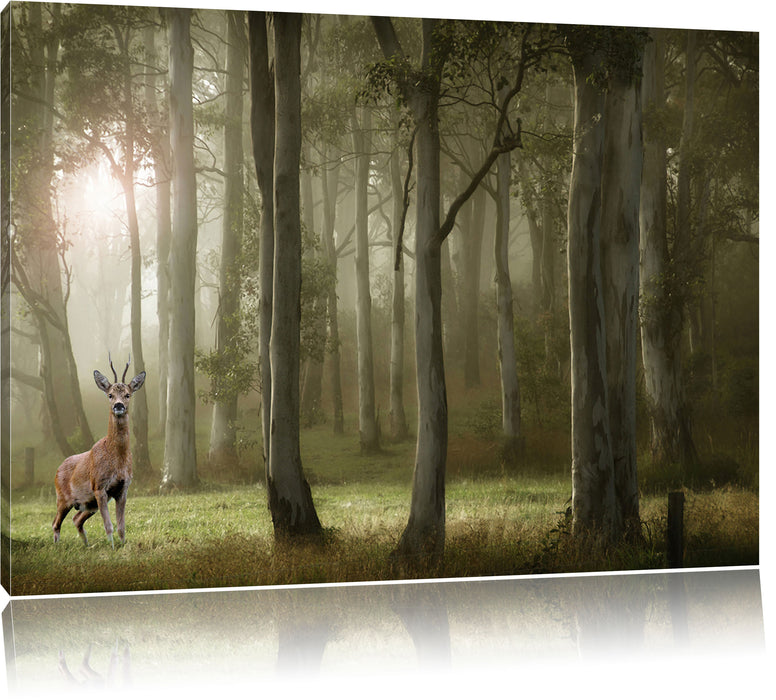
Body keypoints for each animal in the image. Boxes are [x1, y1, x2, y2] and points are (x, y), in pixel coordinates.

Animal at [52, 355, 146, 549]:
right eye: (110, 395)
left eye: (128, 394)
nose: (118, 405)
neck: (117, 459)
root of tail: (57, 469)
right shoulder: (99, 486)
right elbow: (108, 525)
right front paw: (112, 549)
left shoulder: (123, 488)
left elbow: (121, 526)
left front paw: (123, 545)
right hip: (63, 498)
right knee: (56, 523)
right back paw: (57, 547)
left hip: (88, 504)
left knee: (76, 519)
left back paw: (86, 546)